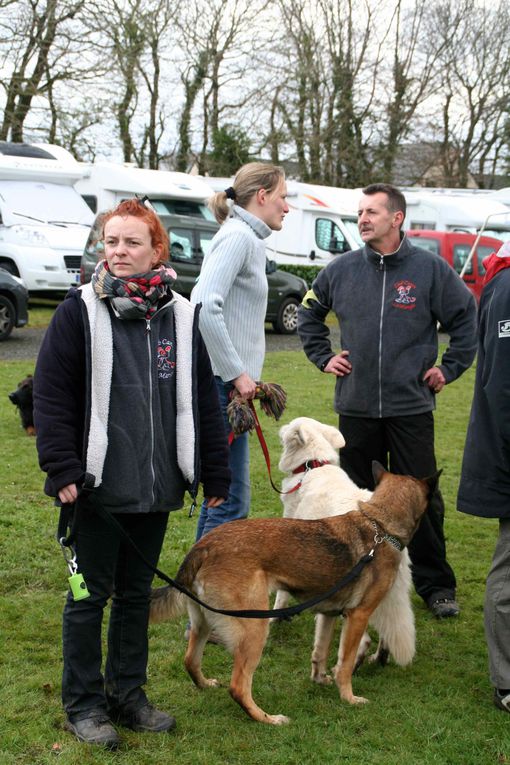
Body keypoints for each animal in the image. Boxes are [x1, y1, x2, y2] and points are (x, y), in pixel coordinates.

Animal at [149, 462, 436, 724]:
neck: (379, 526)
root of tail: (203, 546)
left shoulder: (330, 614)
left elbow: (320, 652)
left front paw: (320, 679)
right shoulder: (358, 616)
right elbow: (345, 663)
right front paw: (349, 698)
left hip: (203, 622)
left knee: (190, 660)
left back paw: (206, 684)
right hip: (255, 628)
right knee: (238, 687)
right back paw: (267, 718)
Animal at [274, 414, 414, 684]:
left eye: (290, 427)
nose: (280, 427)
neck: (313, 466)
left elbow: (281, 595)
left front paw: (276, 617)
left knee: (363, 639)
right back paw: (378, 658)